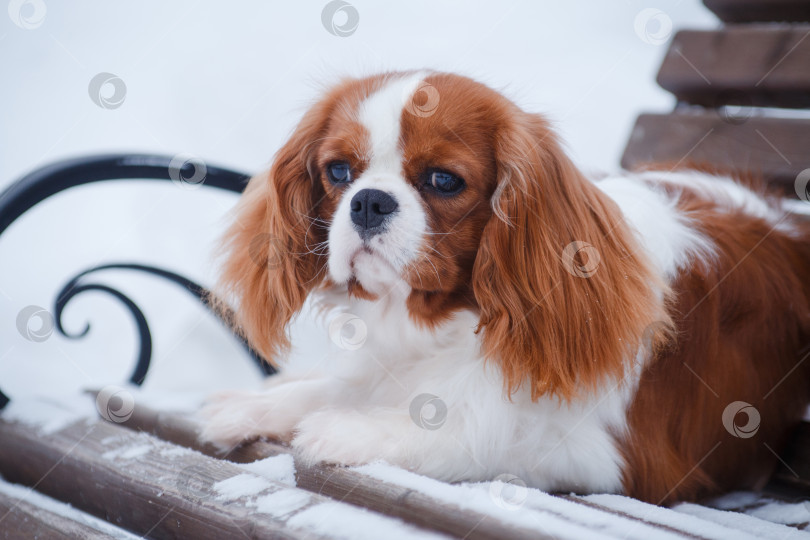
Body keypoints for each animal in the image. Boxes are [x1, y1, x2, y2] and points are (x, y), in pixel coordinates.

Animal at [200, 69, 808, 504]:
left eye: (444, 180)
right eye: (339, 172)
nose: (369, 201)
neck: (448, 321)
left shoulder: (624, 459)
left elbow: (483, 437)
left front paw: (349, 432)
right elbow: (338, 387)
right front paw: (262, 406)